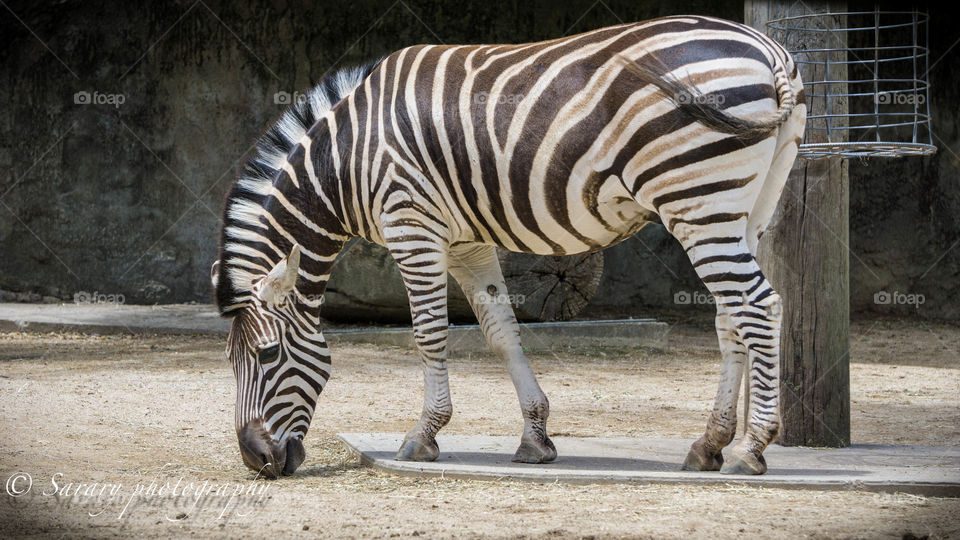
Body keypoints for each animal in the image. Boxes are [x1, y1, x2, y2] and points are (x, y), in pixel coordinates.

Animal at [212, 15, 805, 478]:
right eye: (229, 359)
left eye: (267, 354)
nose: (255, 461)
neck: (346, 161)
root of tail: (769, 48)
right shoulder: (467, 242)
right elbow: (501, 331)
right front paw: (535, 437)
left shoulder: (413, 227)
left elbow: (429, 333)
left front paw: (423, 436)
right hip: (745, 207)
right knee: (731, 314)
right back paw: (709, 444)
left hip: (697, 199)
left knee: (760, 305)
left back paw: (751, 449)